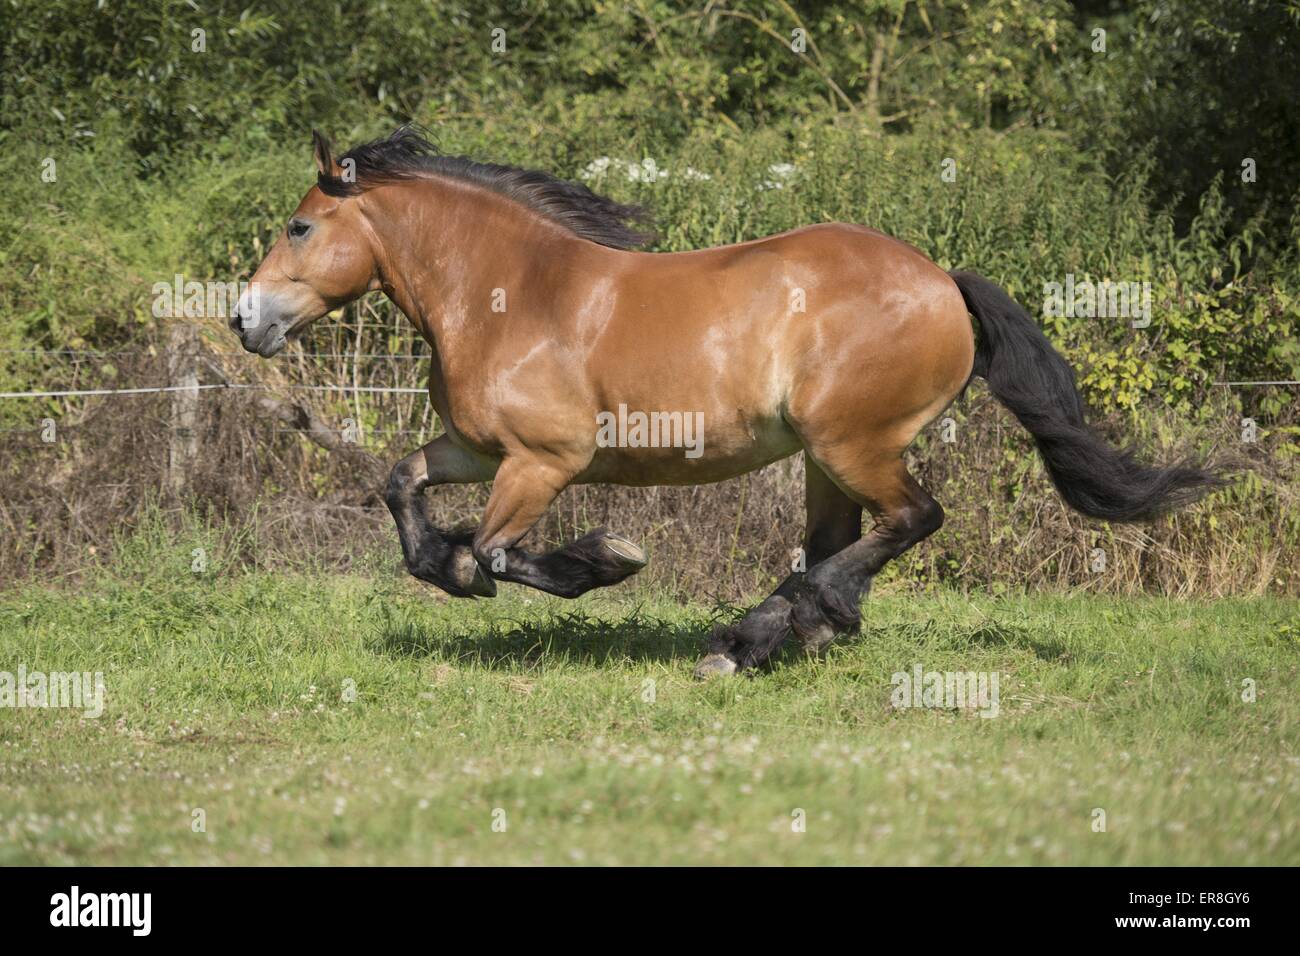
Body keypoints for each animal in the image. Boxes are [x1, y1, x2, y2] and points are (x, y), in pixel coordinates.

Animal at [229, 126, 1222, 678]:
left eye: (300, 226)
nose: (243, 319)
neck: (513, 294)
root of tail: (942, 279)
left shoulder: (545, 463)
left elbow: (503, 552)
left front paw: (603, 559)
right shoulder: (477, 448)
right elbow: (403, 489)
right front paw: (448, 569)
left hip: (854, 443)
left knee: (910, 521)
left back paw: (771, 630)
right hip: (826, 460)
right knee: (840, 542)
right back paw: (771, 636)